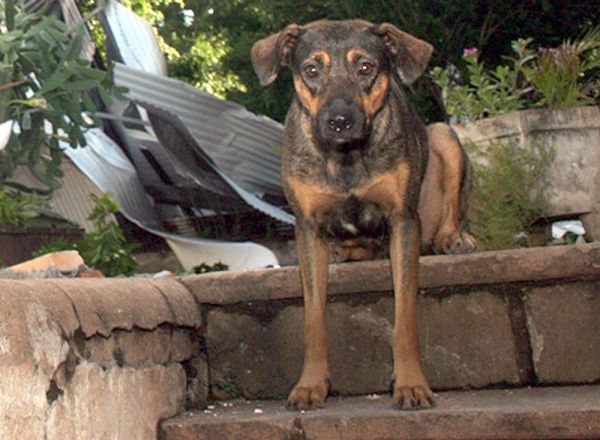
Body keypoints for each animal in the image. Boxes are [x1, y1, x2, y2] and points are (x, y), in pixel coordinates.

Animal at [251, 18, 476, 410]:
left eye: (366, 67)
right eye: (312, 69)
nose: (339, 121)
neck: (346, 156)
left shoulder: (403, 219)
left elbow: (405, 316)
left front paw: (411, 383)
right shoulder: (308, 228)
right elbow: (313, 318)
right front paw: (311, 384)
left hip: (444, 135)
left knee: (450, 209)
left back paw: (453, 239)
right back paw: (345, 252)